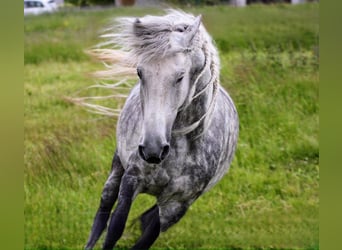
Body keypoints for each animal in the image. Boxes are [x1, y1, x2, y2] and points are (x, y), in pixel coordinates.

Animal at [84, 9, 239, 250]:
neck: (184, 146)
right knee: (103, 212)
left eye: (180, 76)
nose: (152, 149)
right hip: (116, 170)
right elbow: (114, 229)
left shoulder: (177, 204)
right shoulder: (131, 181)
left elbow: (146, 239)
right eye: (140, 72)